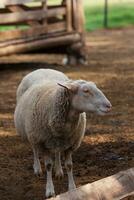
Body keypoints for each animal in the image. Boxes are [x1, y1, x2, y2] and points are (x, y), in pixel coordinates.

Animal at [14, 69, 111, 198]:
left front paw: (72, 188)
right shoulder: (42, 142)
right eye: (86, 91)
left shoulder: (70, 144)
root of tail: (43, 69)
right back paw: (37, 169)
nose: (109, 106)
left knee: (57, 152)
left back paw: (59, 170)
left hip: (56, 140)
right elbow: (48, 166)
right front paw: (50, 190)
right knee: (34, 149)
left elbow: (69, 165)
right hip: (31, 133)